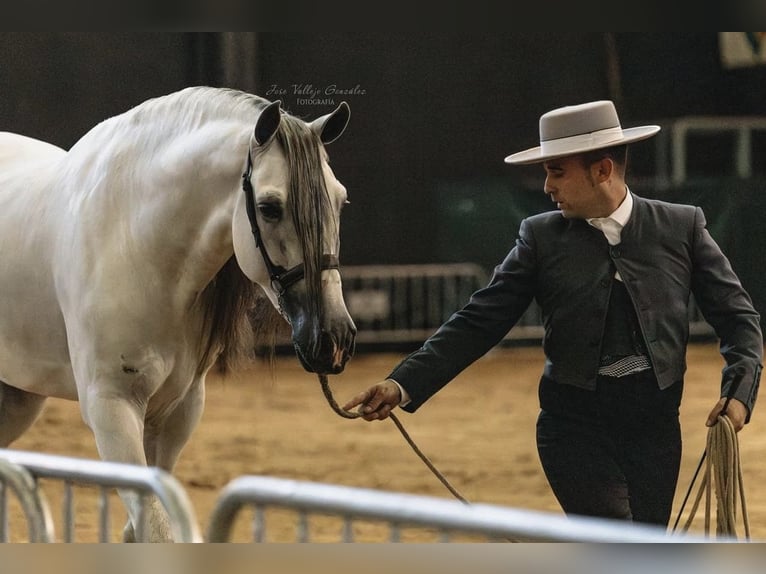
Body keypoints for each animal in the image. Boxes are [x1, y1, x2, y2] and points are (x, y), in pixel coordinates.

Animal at [0, 86, 357, 541]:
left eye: (340, 199)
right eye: (270, 207)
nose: (334, 338)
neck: (135, 241)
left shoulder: (178, 412)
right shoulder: (111, 408)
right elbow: (156, 528)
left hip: (18, 398)